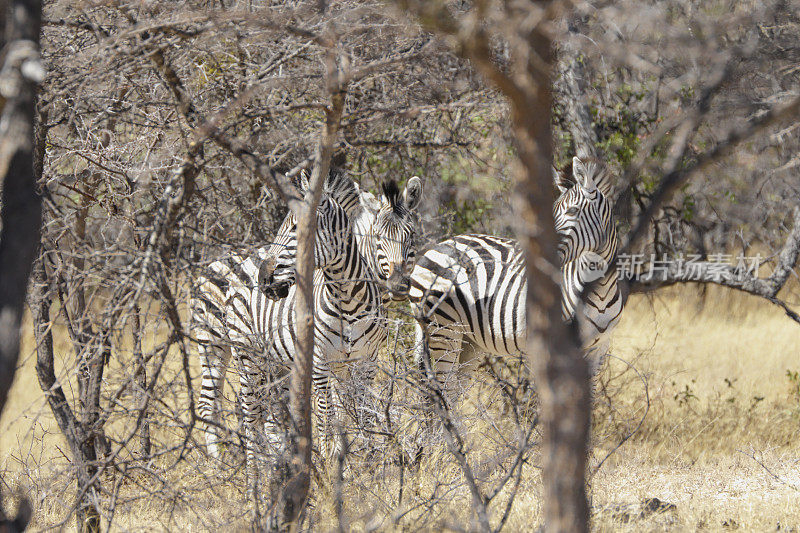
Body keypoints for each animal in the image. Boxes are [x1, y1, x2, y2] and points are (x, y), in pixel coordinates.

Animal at [191, 169, 422, 458]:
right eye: (378, 239)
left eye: (411, 237)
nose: (398, 285)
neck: (350, 300)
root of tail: (214, 262)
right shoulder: (321, 361)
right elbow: (328, 414)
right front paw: (331, 458)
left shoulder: (364, 360)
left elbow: (360, 412)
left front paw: (365, 458)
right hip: (225, 348)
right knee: (229, 408)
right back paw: (226, 464)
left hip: (271, 359)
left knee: (264, 412)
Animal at [410, 156, 620, 388]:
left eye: (572, 211)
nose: (537, 250)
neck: (600, 291)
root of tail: (437, 246)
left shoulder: (599, 350)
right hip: (443, 331)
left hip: (469, 341)